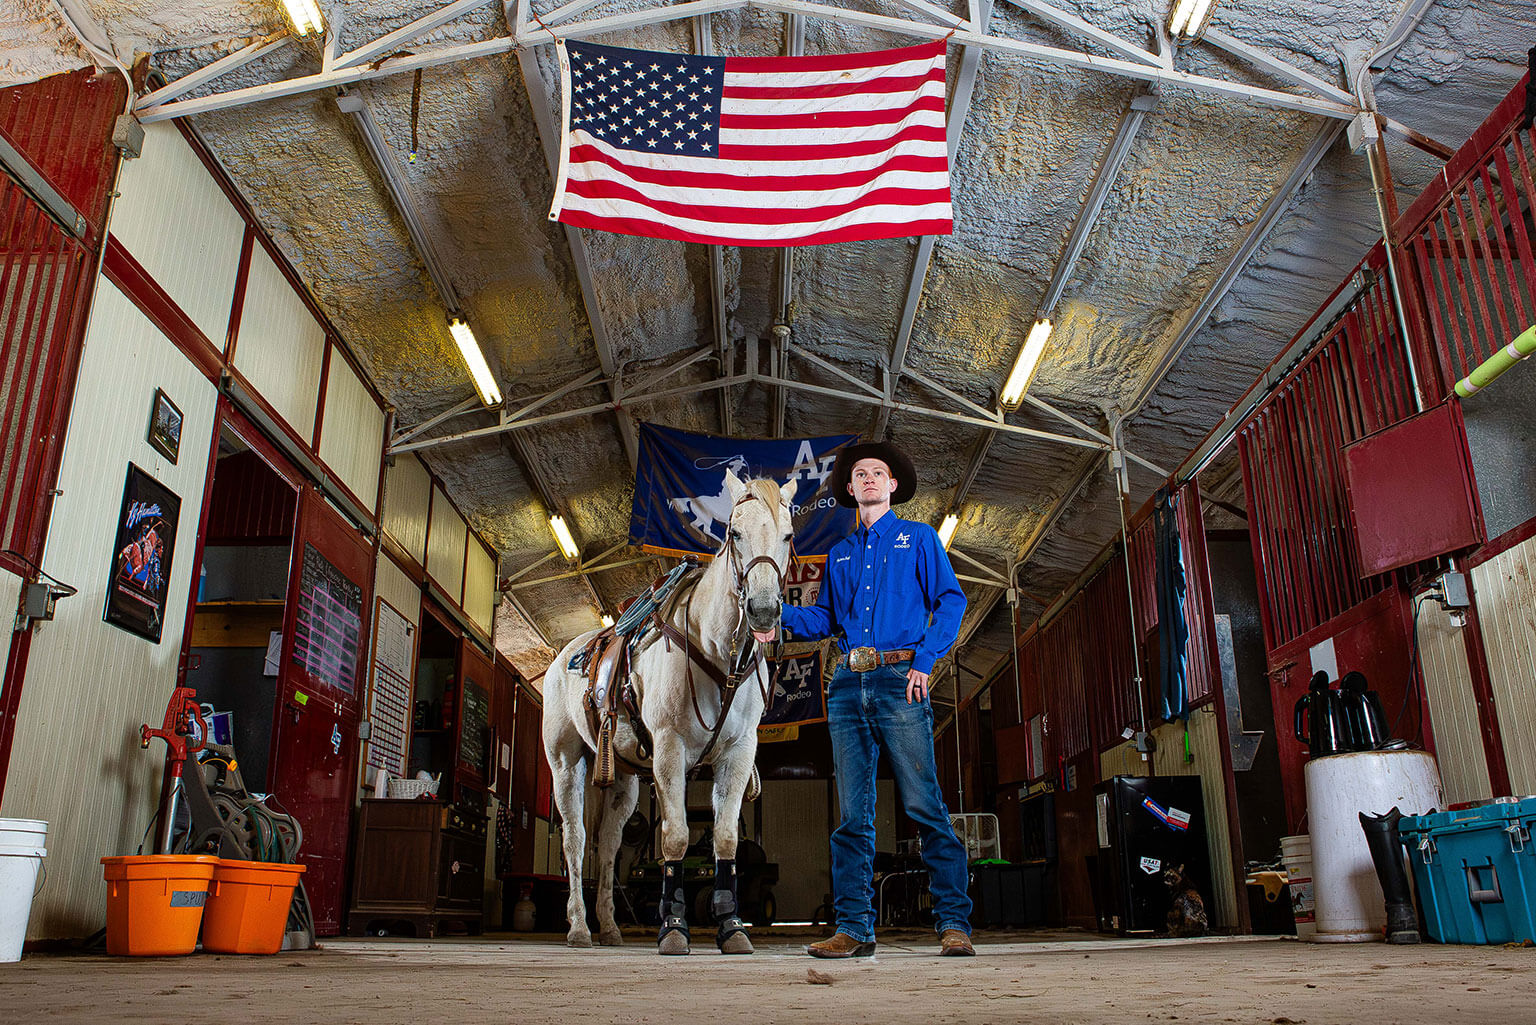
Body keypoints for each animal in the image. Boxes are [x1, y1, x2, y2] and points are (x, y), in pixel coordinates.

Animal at [540, 470, 798, 952]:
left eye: (788, 536)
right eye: (734, 534)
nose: (763, 610)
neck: (713, 651)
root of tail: (564, 655)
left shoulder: (738, 752)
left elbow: (726, 839)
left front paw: (732, 927)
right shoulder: (669, 748)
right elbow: (674, 838)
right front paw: (674, 927)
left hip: (622, 778)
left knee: (608, 844)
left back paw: (610, 927)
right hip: (566, 762)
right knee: (575, 840)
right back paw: (580, 927)